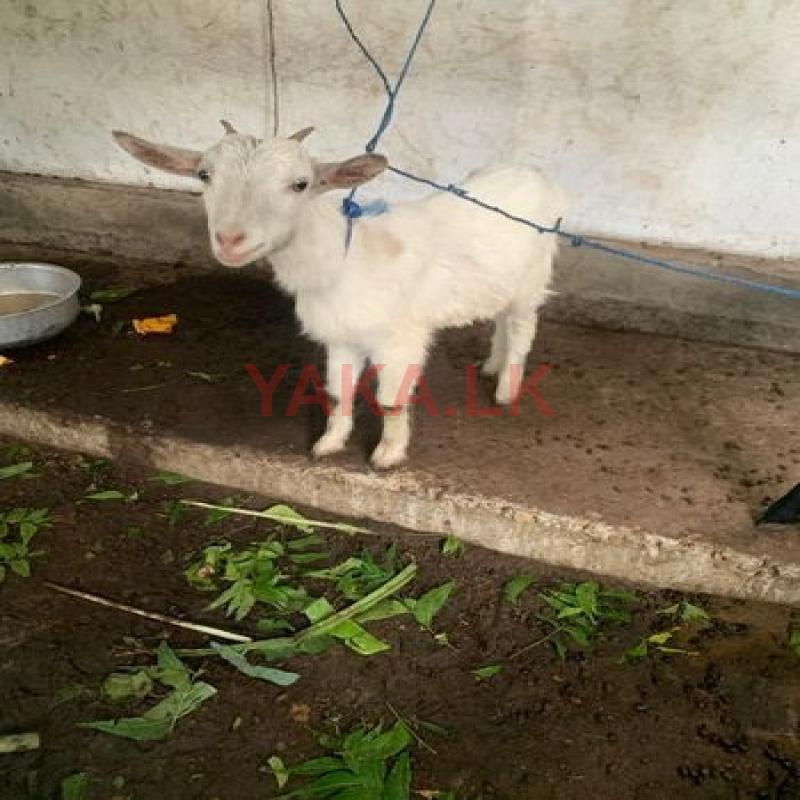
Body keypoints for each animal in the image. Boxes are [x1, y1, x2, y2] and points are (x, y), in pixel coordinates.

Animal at [113, 121, 568, 469]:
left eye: (300, 184)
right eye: (204, 176)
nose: (230, 240)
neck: (344, 258)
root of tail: (532, 173)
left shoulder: (399, 339)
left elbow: (390, 400)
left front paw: (388, 455)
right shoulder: (340, 336)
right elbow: (338, 392)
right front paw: (329, 444)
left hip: (534, 276)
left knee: (522, 328)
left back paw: (506, 387)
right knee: (500, 318)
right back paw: (491, 366)